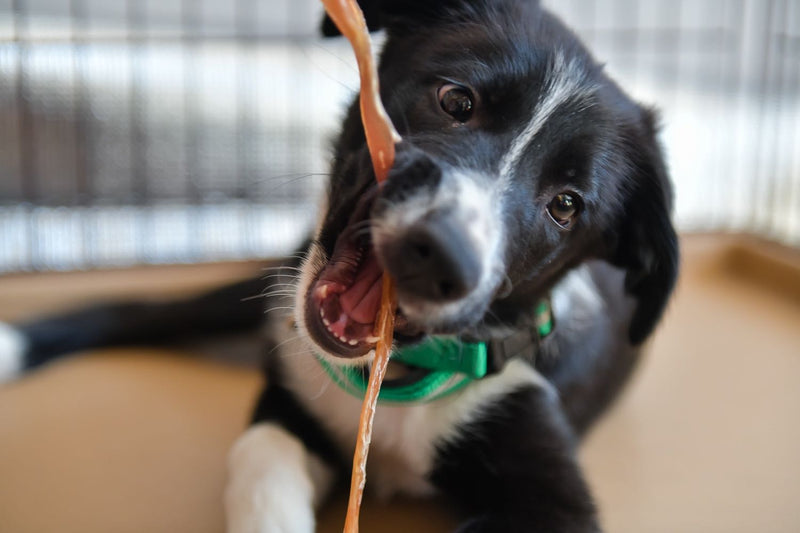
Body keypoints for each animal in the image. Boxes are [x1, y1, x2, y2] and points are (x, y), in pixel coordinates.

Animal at [0, 2, 680, 528]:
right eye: (456, 99)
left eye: (566, 206)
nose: (442, 254)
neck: (398, 379)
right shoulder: (292, 399)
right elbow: (258, 454)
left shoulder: (549, 491)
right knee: (148, 309)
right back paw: (16, 344)